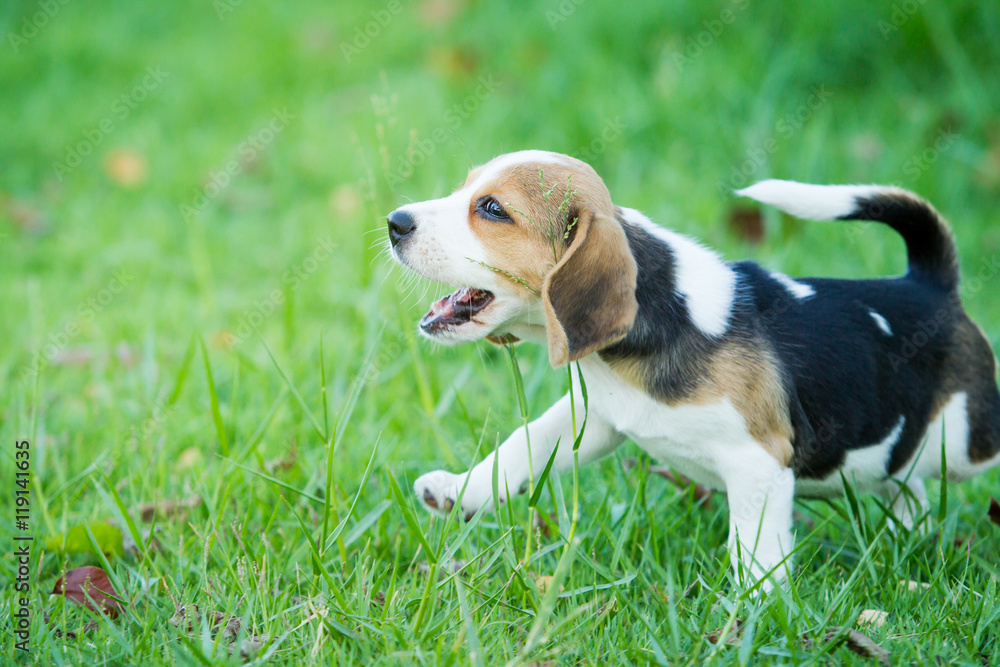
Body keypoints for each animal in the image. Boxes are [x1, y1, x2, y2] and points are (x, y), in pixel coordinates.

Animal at [386, 150, 1000, 588]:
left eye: (492, 209)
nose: (394, 221)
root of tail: (929, 284)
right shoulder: (595, 417)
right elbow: (523, 446)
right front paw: (460, 492)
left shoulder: (759, 464)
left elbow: (755, 556)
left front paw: (752, 619)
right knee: (905, 482)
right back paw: (909, 537)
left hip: (966, 442)